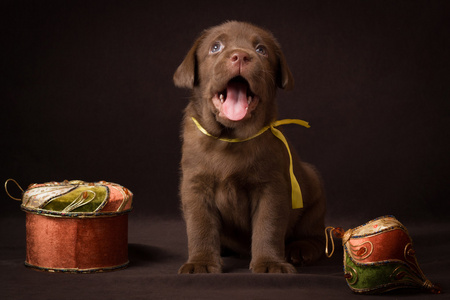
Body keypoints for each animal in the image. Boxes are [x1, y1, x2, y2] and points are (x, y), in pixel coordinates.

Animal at [174, 21, 326, 274]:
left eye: (261, 50)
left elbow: (268, 226)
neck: (228, 139)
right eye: (216, 47)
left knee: (314, 235)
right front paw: (201, 262)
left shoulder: (271, 187)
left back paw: (300, 249)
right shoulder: (195, 186)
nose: (240, 56)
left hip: (314, 193)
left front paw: (270, 263)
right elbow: (200, 226)